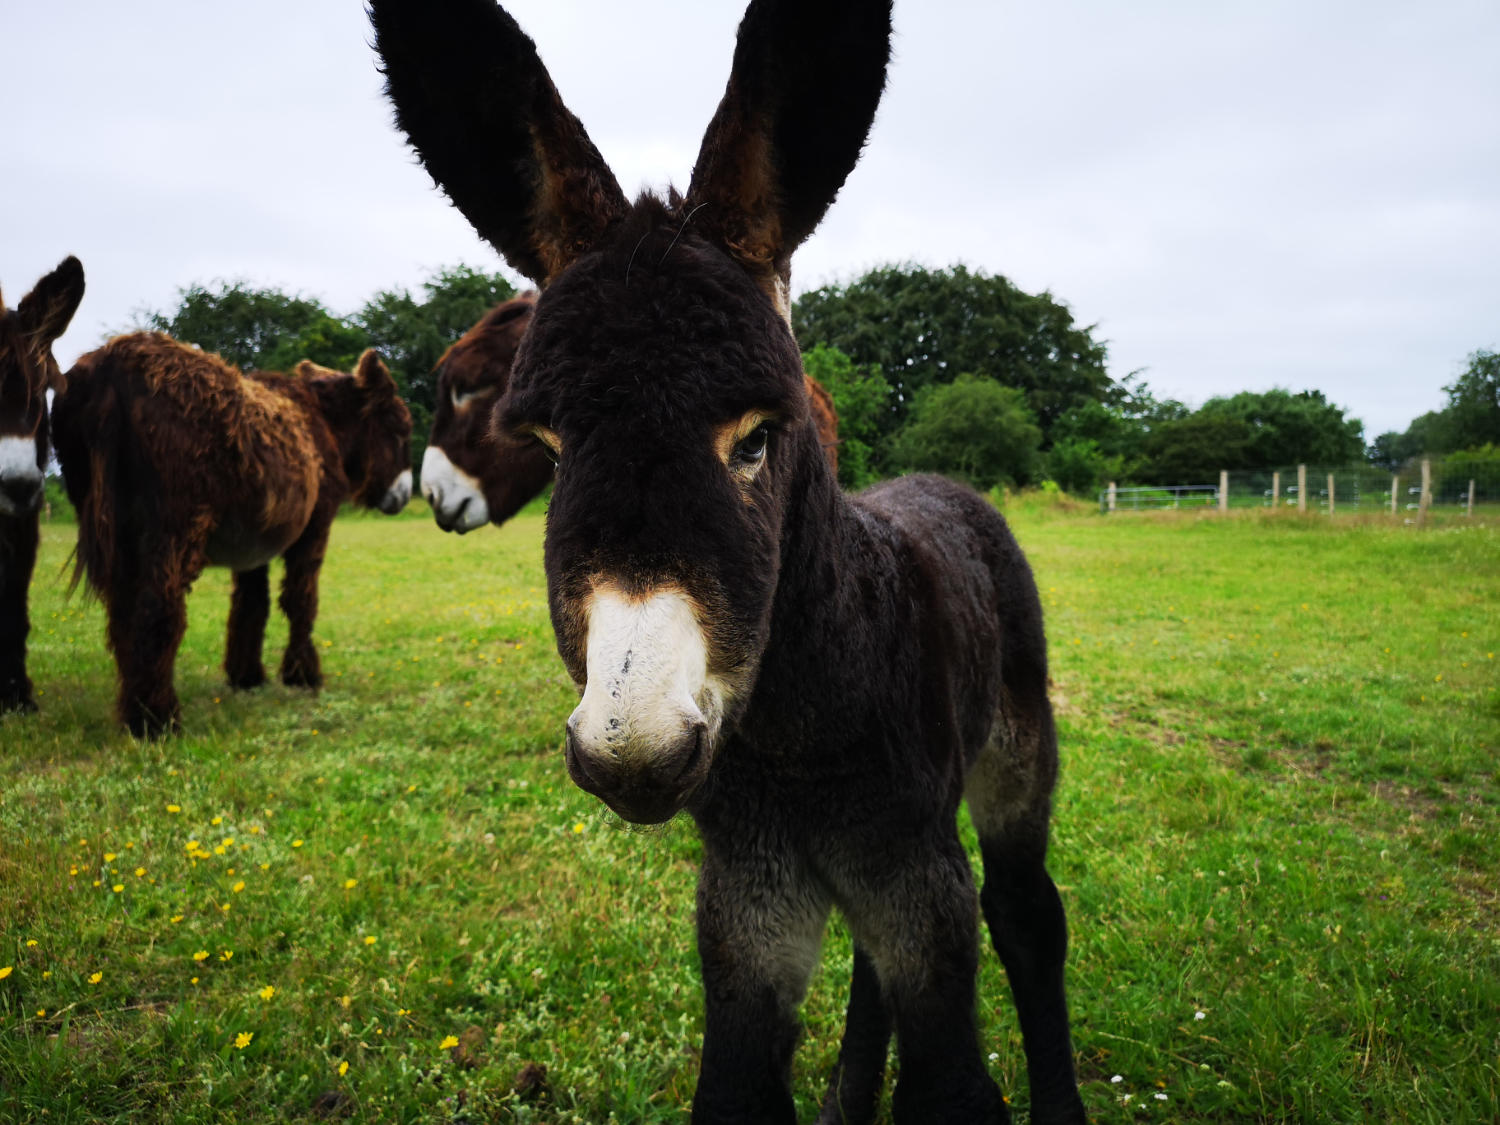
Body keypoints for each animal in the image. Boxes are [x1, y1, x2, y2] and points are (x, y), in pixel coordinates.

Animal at [53, 337, 414, 741]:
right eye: (401, 429)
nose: (406, 495)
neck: (323, 423)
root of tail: (113, 364)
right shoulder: (314, 528)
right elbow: (301, 601)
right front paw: (303, 676)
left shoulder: (254, 546)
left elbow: (251, 604)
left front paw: (247, 676)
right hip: (174, 525)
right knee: (155, 610)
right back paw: (156, 720)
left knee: (122, 612)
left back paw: (135, 709)